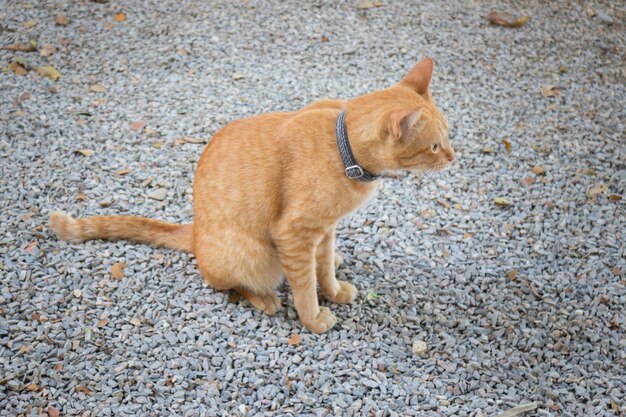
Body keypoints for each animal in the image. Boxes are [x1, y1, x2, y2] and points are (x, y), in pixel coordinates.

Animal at [51, 57, 454, 332]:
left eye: (449, 136)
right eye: (434, 146)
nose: (453, 157)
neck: (343, 147)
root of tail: (195, 232)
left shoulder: (325, 229)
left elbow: (323, 268)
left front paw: (334, 289)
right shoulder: (294, 234)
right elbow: (305, 285)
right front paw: (313, 318)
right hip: (255, 256)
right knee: (226, 283)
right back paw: (264, 298)